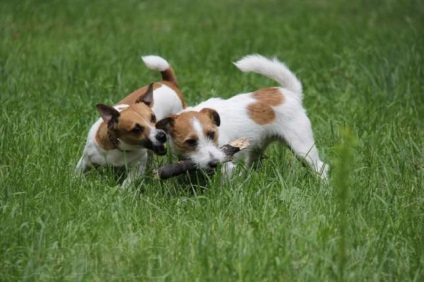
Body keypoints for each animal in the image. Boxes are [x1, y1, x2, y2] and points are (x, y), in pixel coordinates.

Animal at [76, 55, 186, 187]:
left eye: (153, 118)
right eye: (136, 128)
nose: (162, 135)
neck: (119, 147)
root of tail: (168, 83)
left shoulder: (138, 167)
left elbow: (127, 184)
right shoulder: (86, 159)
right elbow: (77, 173)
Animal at [157, 54, 330, 180]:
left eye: (212, 135)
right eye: (191, 142)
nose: (214, 163)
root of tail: (289, 93)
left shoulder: (225, 162)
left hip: (302, 146)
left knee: (320, 166)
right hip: (257, 148)